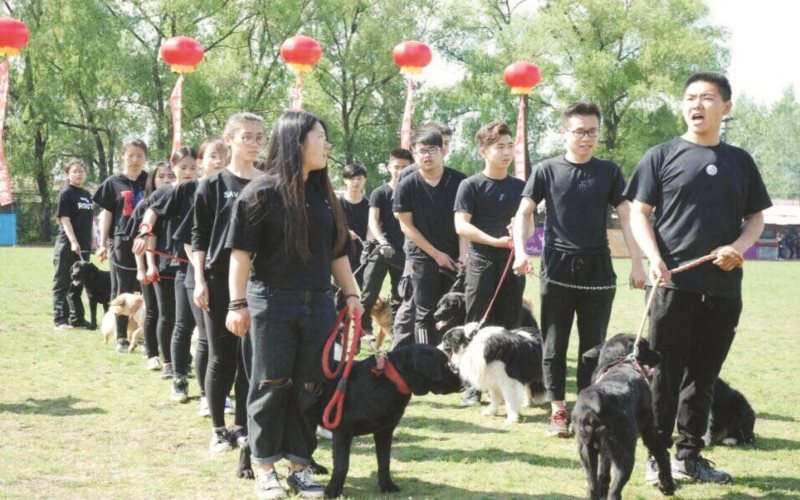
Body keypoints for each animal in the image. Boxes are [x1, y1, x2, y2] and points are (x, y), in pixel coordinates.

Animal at [572, 334, 680, 498]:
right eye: (646, 346)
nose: (659, 355)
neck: (622, 363)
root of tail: (598, 398)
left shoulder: (604, 449)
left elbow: (604, 470)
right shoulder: (649, 429)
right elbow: (661, 454)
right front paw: (667, 485)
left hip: (586, 450)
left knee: (592, 486)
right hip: (625, 452)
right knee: (615, 491)